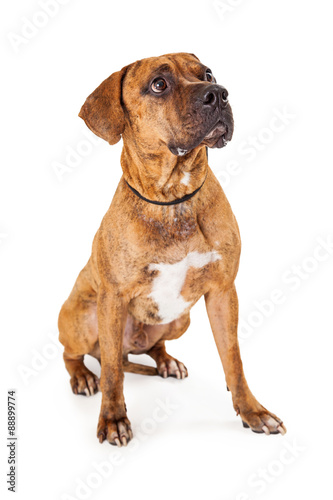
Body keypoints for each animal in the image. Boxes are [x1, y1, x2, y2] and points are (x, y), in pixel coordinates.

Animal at [57, 52, 286, 448]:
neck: (173, 197)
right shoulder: (113, 299)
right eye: (158, 84)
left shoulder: (223, 292)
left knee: (150, 347)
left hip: (180, 318)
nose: (218, 93)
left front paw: (252, 411)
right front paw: (113, 418)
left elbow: (233, 357)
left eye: (207, 74)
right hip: (82, 319)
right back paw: (83, 376)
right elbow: (113, 373)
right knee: (79, 354)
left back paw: (166, 361)